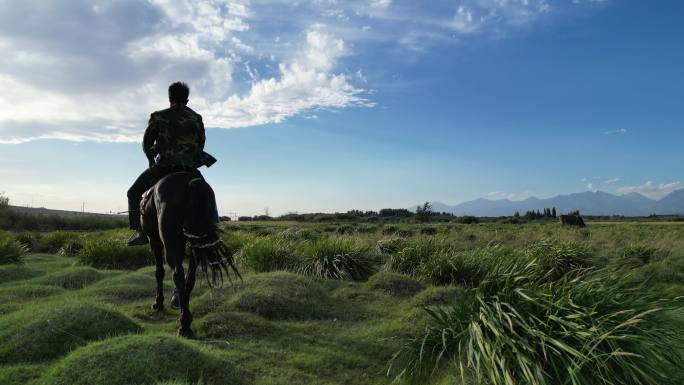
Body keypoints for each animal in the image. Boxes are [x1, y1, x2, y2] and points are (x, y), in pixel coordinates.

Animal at [140, 171, 242, 336]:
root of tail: (191, 182)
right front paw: (176, 300)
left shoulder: (154, 241)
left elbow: (159, 272)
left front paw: (159, 302)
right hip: (196, 245)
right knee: (189, 278)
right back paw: (185, 317)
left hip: (170, 242)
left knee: (178, 275)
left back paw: (184, 325)